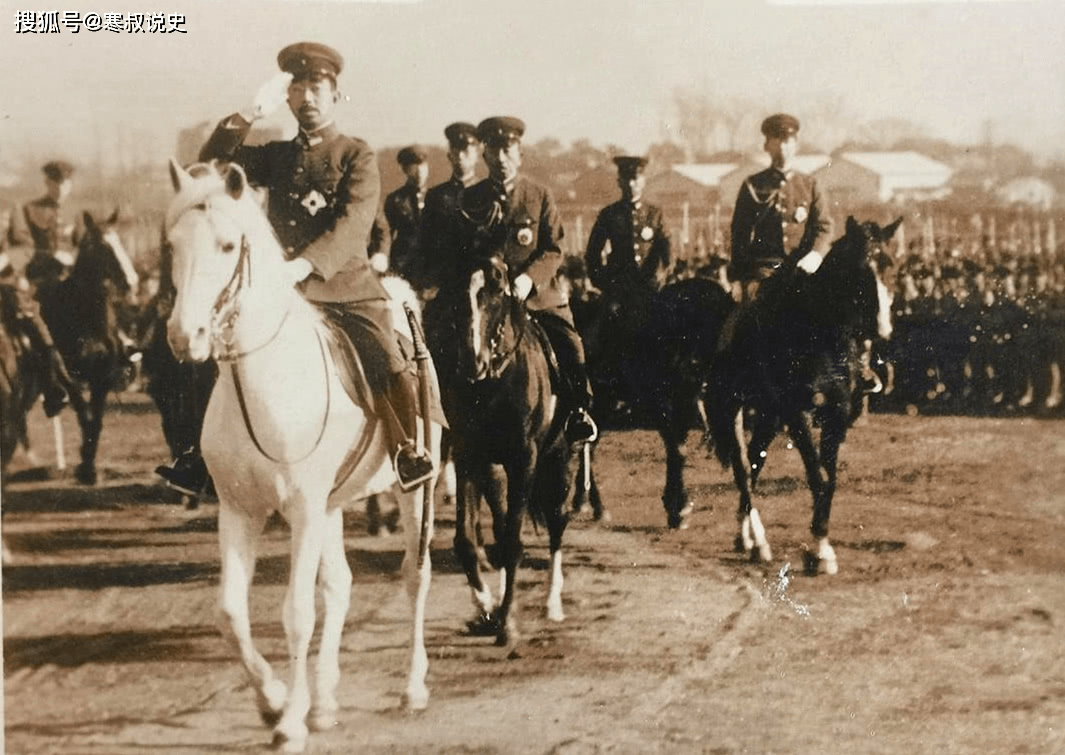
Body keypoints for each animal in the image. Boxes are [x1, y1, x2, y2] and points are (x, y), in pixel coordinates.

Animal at [36, 208, 137, 485]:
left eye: (120, 241)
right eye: (102, 245)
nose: (131, 280)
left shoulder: (102, 377)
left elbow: (96, 419)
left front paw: (89, 466)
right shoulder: (72, 377)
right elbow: (84, 414)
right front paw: (84, 466)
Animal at [164, 157, 438, 749]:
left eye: (227, 245)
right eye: (172, 244)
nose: (182, 336)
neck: (262, 375)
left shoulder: (303, 510)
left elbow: (295, 613)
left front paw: (288, 720)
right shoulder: (240, 510)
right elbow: (231, 613)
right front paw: (273, 700)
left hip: (416, 490)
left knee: (415, 575)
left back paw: (412, 686)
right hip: (332, 505)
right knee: (339, 586)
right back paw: (326, 700)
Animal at [440, 253, 575, 647]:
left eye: (497, 294)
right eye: (457, 294)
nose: (474, 362)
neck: (494, 383)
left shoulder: (524, 459)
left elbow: (514, 542)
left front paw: (506, 624)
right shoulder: (468, 457)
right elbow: (467, 540)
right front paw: (488, 608)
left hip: (559, 458)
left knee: (557, 521)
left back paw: (551, 603)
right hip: (493, 470)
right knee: (500, 525)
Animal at [707, 215, 898, 575]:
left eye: (891, 267)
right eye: (862, 269)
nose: (883, 330)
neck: (820, 334)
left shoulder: (837, 413)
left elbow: (830, 479)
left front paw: (821, 545)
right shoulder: (798, 413)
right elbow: (818, 475)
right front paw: (819, 551)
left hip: (769, 415)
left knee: (753, 463)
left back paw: (746, 538)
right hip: (731, 409)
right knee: (743, 469)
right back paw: (758, 542)